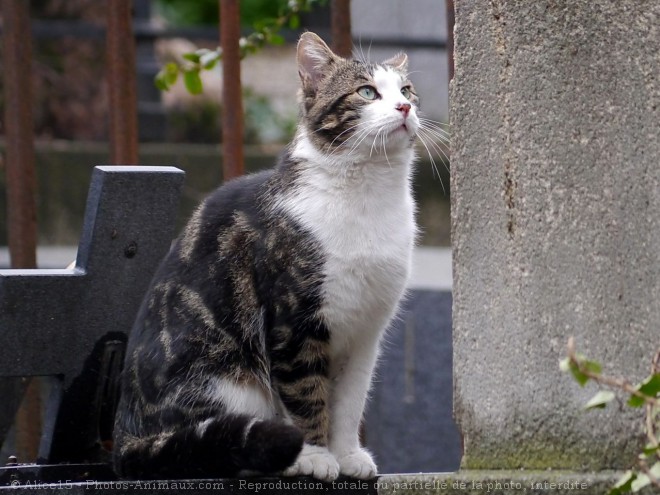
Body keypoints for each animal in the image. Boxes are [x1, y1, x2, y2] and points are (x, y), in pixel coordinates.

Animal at [112, 32, 422, 484]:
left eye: (406, 90)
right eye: (367, 92)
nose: (404, 108)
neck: (367, 195)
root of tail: (124, 440)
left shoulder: (366, 332)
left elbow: (349, 402)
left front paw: (347, 454)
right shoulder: (293, 326)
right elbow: (307, 397)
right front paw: (316, 455)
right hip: (225, 377)